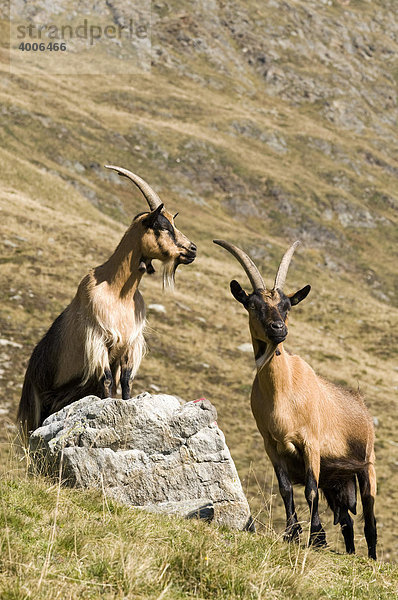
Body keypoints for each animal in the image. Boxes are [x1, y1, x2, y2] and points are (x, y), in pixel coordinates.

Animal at [17, 166, 197, 438]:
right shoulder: (98, 338)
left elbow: (126, 381)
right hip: (36, 405)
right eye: (161, 226)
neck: (118, 293)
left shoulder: (130, 343)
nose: (192, 250)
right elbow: (108, 380)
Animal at [215, 238, 376, 556]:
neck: (284, 395)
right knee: (347, 522)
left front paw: (317, 538)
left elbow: (309, 490)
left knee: (370, 521)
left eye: (287, 306)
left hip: (367, 465)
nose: (278, 329)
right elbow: (286, 489)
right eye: (253, 305)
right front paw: (292, 534)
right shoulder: (272, 446)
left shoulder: (310, 443)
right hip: (337, 481)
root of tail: (361, 404)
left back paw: (372, 558)